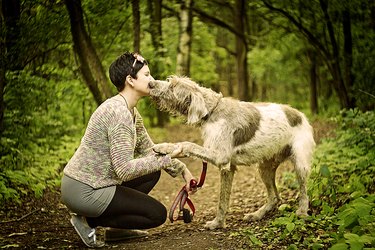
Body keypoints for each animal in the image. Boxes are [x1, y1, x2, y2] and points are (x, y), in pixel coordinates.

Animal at [148, 76, 316, 230]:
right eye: (169, 81)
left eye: (172, 87)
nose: (150, 83)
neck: (212, 111)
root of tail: (300, 114)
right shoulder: (228, 168)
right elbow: (223, 200)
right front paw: (218, 223)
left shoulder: (221, 157)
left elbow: (188, 144)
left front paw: (166, 147)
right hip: (265, 168)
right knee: (275, 197)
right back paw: (257, 214)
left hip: (300, 164)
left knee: (304, 191)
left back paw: (302, 212)